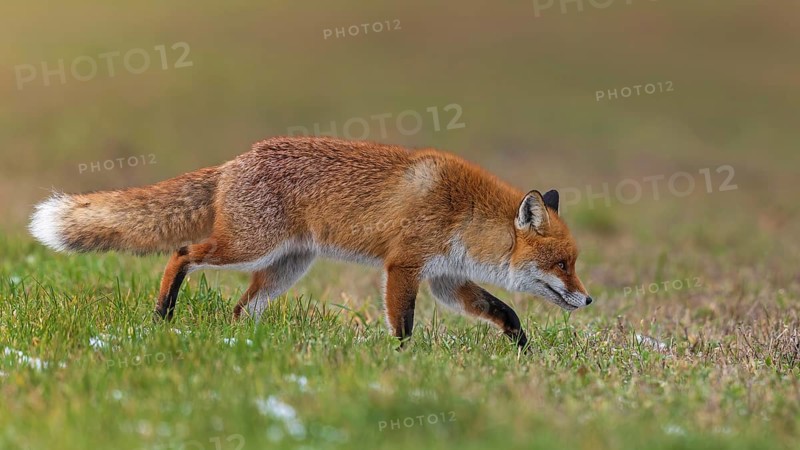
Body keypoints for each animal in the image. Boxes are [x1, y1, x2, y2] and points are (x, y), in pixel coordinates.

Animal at [29, 136, 592, 349]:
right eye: (562, 263)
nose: (588, 299)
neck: (463, 213)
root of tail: (233, 162)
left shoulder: (446, 280)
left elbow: (504, 310)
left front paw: (521, 347)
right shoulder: (404, 267)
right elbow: (404, 324)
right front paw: (406, 362)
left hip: (285, 267)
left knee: (241, 310)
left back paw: (245, 346)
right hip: (245, 247)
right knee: (182, 253)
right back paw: (164, 313)